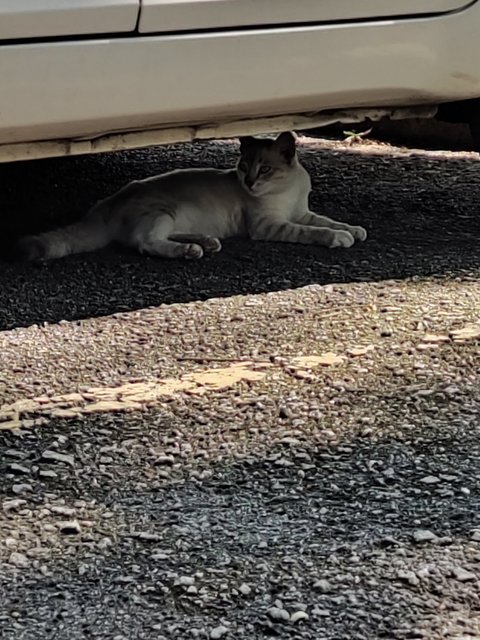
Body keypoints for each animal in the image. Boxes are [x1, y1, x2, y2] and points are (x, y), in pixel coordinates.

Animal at [15, 131, 368, 262]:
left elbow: (328, 221)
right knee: (146, 243)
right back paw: (191, 250)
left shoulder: (301, 211)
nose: (249, 182)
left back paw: (206, 242)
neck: (287, 190)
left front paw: (354, 230)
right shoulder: (271, 224)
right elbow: (313, 231)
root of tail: (101, 207)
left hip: (173, 219)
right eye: (243, 167)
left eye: (265, 169)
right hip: (162, 213)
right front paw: (339, 239)